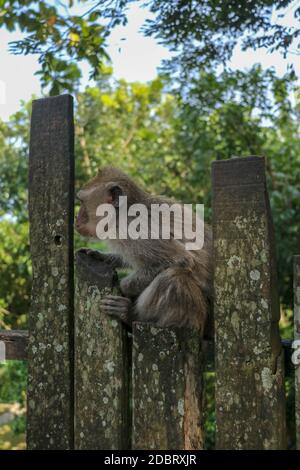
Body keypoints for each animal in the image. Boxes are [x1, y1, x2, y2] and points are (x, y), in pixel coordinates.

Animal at [76, 167, 212, 336]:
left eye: (82, 202)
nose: (76, 220)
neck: (123, 212)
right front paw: (99, 255)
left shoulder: (132, 228)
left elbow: (180, 259)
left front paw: (124, 287)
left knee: (173, 277)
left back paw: (131, 315)